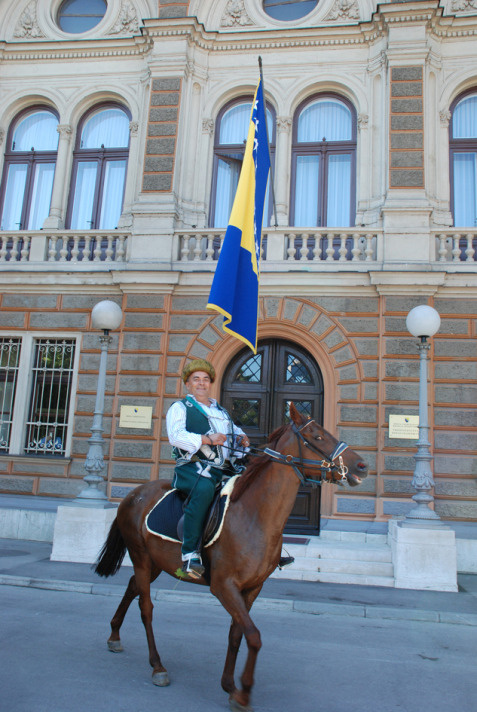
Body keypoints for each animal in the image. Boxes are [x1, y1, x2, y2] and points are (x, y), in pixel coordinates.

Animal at [94, 404, 368, 708]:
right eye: (317, 436)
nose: (361, 466)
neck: (255, 515)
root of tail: (134, 494)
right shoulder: (223, 586)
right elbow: (254, 635)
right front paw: (244, 691)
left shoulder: (252, 588)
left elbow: (237, 633)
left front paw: (229, 684)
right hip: (141, 557)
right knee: (146, 608)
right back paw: (157, 666)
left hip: (155, 563)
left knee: (132, 587)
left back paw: (114, 634)